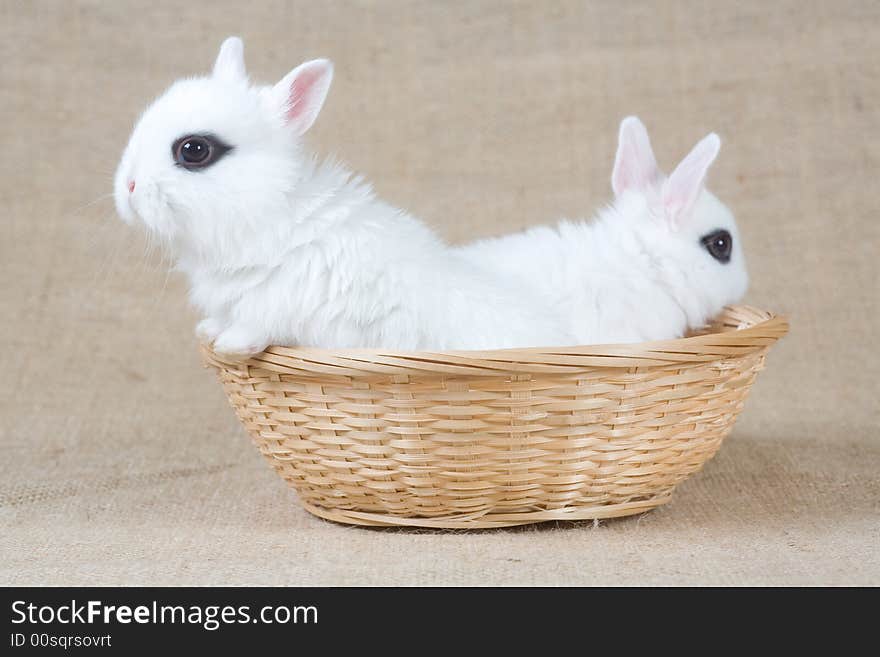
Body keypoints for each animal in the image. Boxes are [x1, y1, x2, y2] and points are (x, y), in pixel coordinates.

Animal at [113, 37, 576, 356]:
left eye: (194, 150)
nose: (128, 188)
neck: (271, 217)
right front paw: (209, 330)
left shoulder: (287, 307)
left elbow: (259, 325)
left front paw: (232, 346)